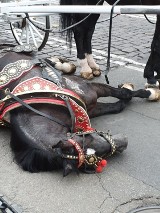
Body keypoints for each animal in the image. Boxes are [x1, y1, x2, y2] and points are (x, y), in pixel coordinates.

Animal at [0, 46, 159, 176]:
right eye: (99, 157)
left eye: (89, 137)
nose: (125, 142)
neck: (43, 103)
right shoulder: (90, 107)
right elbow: (117, 106)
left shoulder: (90, 88)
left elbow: (123, 93)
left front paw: (149, 92)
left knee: (49, 60)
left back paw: (60, 63)